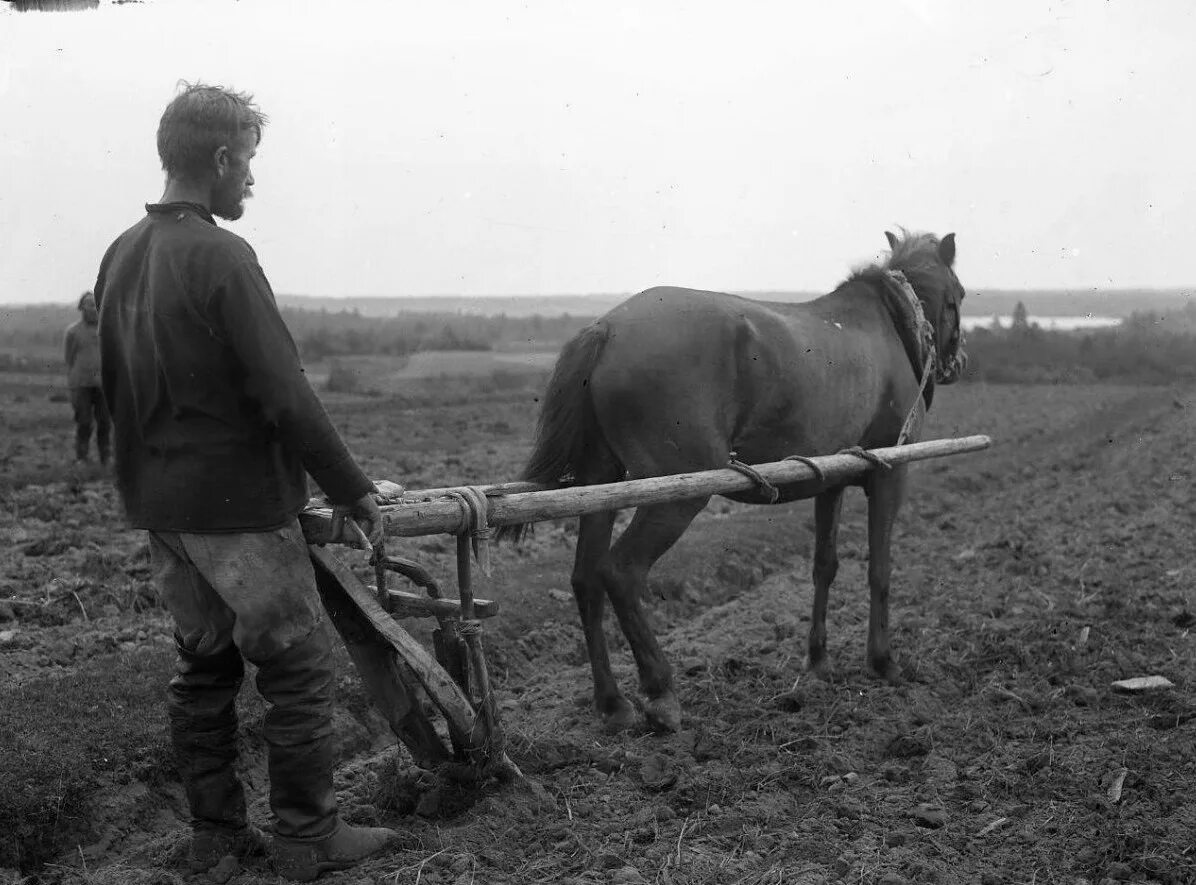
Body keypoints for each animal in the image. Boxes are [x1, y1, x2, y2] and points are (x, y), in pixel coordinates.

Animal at [499, 229, 966, 731]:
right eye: (958, 295)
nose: (958, 363)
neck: (887, 326)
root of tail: (606, 330)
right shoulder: (889, 475)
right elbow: (880, 570)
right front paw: (883, 661)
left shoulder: (833, 481)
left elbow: (825, 566)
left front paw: (818, 661)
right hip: (674, 497)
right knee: (619, 572)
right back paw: (660, 690)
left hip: (601, 485)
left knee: (586, 578)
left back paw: (612, 702)